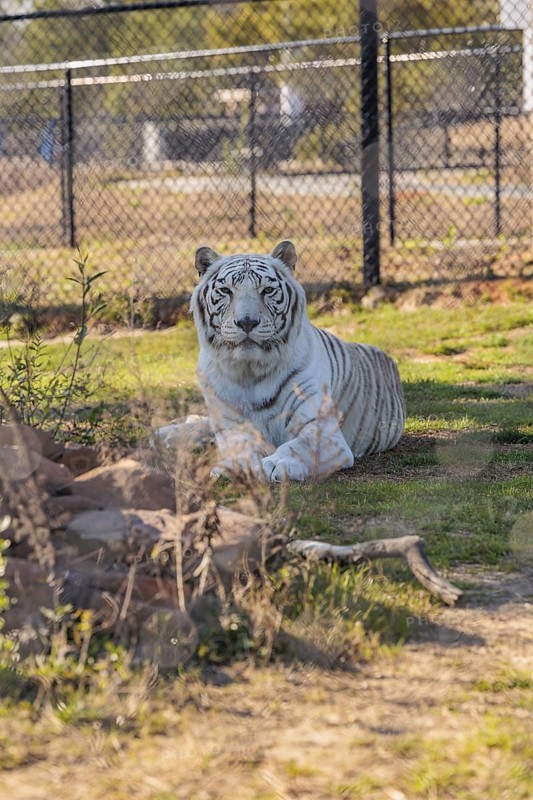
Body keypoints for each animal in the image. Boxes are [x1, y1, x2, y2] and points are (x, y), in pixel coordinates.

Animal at [154, 240, 405, 481]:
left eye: (267, 290)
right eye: (226, 290)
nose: (247, 322)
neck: (249, 372)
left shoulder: (323, 431)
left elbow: (297, 446)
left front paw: (276, 464)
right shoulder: (231, 426)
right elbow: (241, 446)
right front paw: (236, 466)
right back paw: (167, 433)